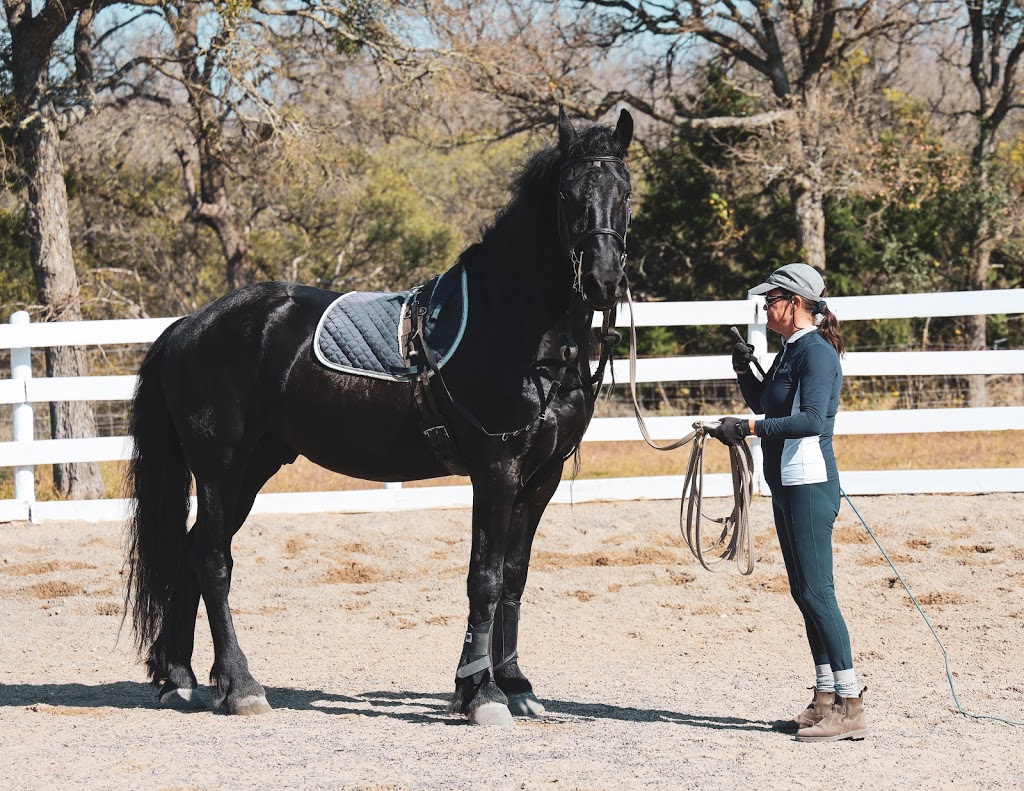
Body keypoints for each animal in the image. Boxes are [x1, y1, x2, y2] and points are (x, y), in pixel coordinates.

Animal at [125, 108, 630, 725]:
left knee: (191, 555)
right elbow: (484, 578)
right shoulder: (496, 469)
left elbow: (514, 576)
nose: (603, 280)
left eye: (624, 192)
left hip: (253, 467)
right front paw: (481, 695)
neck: (514, 327)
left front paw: (513, 685)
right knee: (211, 560)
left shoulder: (542, 478)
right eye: (567, 194)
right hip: (220, 467)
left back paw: (180, 679)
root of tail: (188, 326)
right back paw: (241, 686)